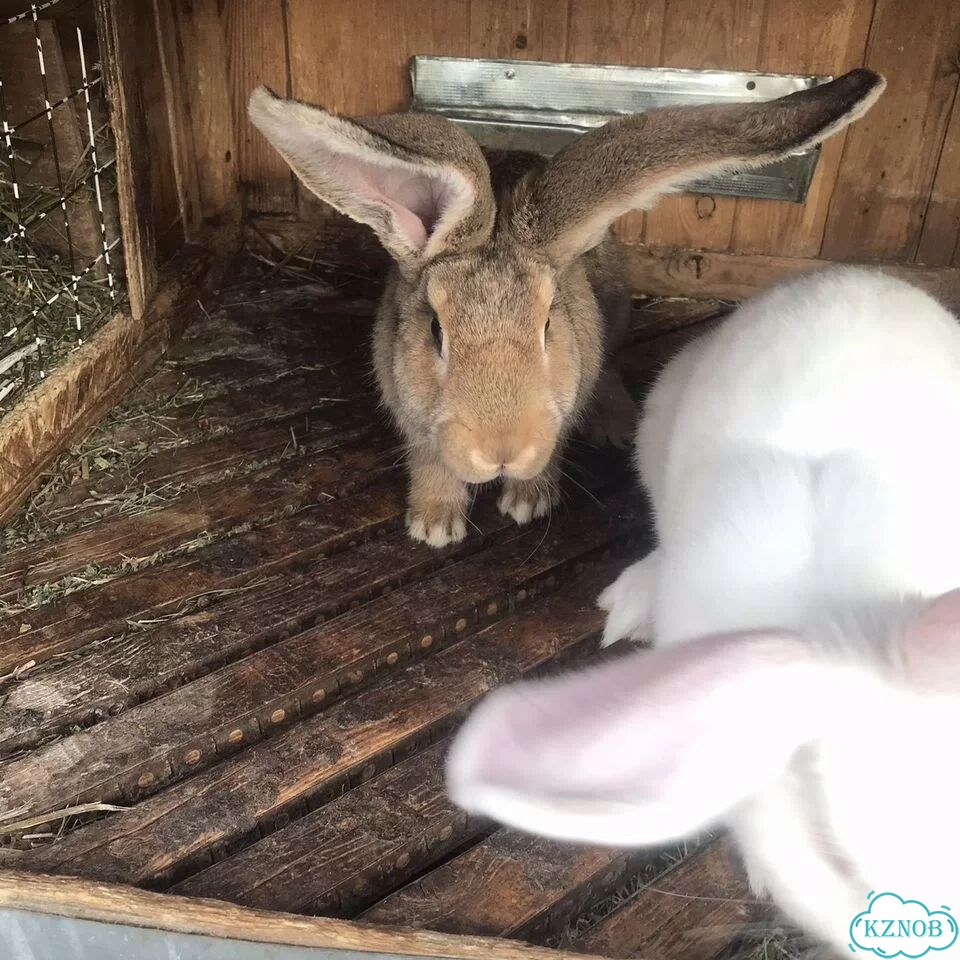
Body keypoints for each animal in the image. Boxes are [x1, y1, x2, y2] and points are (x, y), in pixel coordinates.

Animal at [248, 69, 884, 548]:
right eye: (435, 330)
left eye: (549, 325)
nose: (502, 452)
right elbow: (429, 461)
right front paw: (434, 524)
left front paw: (529, 503)